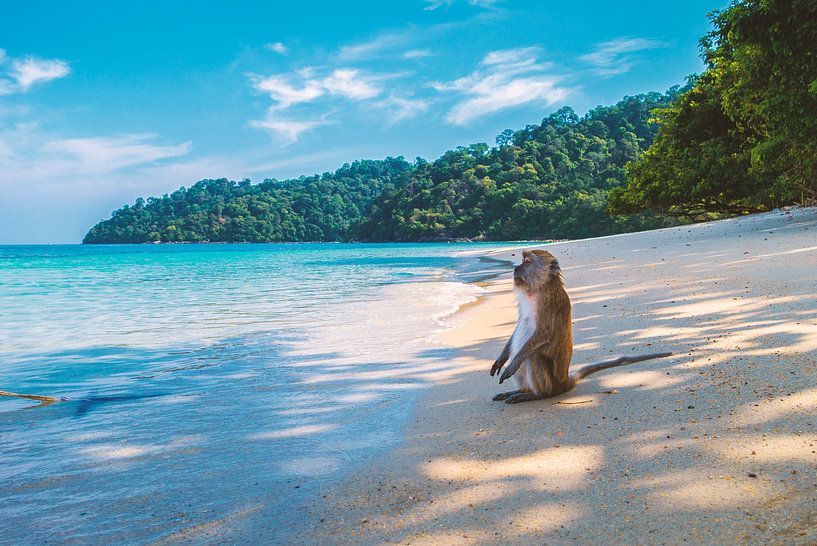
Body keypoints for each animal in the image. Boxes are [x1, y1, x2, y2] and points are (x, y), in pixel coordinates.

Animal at [489, 249, 671, 404]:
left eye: (527, 262)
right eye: (522, 261)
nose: (515, 268)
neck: (537, 288)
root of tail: (564, 382)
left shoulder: (548, 301)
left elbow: (543, 334)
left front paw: (512, 364)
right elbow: (519, 324)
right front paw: (501, 360)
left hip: (551, 384)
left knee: (533, 356)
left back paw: (534, 394)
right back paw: (520, 391)